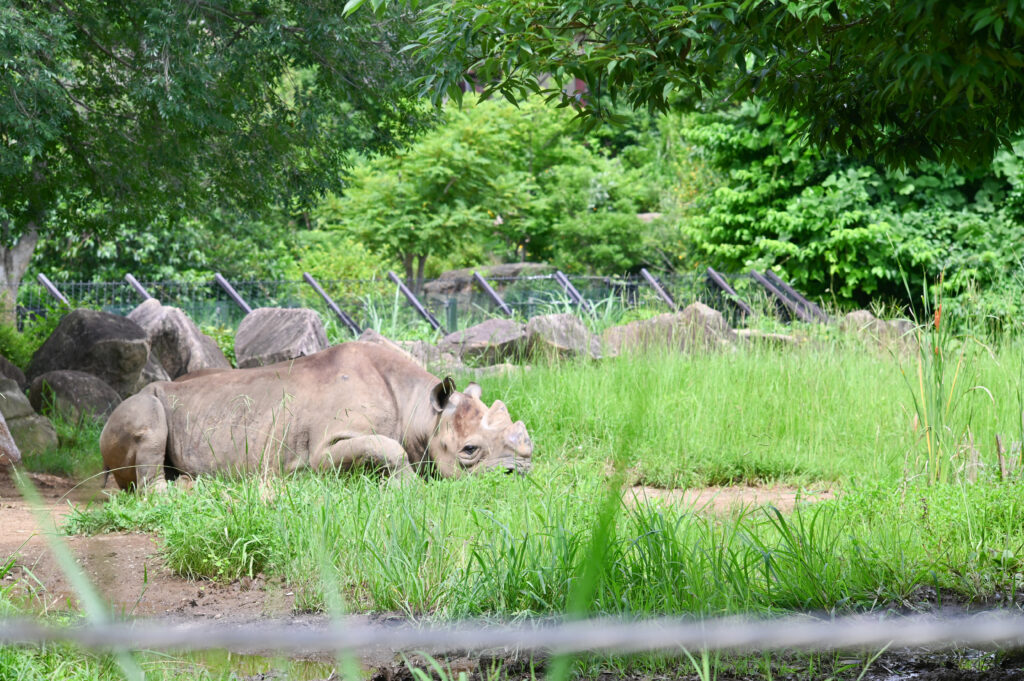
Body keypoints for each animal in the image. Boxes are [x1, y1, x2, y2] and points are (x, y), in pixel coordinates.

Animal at [100, 341, 533, 491]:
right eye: (469, 451)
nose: (520, 475)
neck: (422, 409)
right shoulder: (323, 449)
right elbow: (386, 447)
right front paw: (409, 485)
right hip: (140, 402)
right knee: (148, 415)